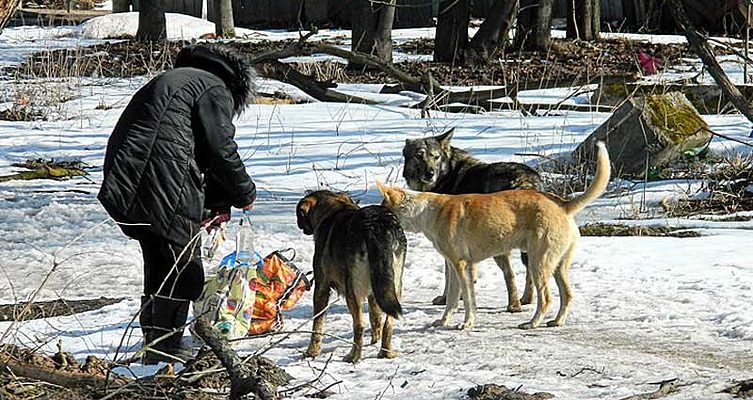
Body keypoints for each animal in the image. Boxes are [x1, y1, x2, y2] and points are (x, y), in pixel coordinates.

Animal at [378, 142, 608, 330]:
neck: (428, 212)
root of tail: (563, 204)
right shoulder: (454, 267)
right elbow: (452, 300)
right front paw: (443, 322)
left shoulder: (462, 266)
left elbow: (467, 299)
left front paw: (466, 324)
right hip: (558, 265)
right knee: (567, 295)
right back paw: (557, 321)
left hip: (538, 263)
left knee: (546, 298)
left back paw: (532, 323)